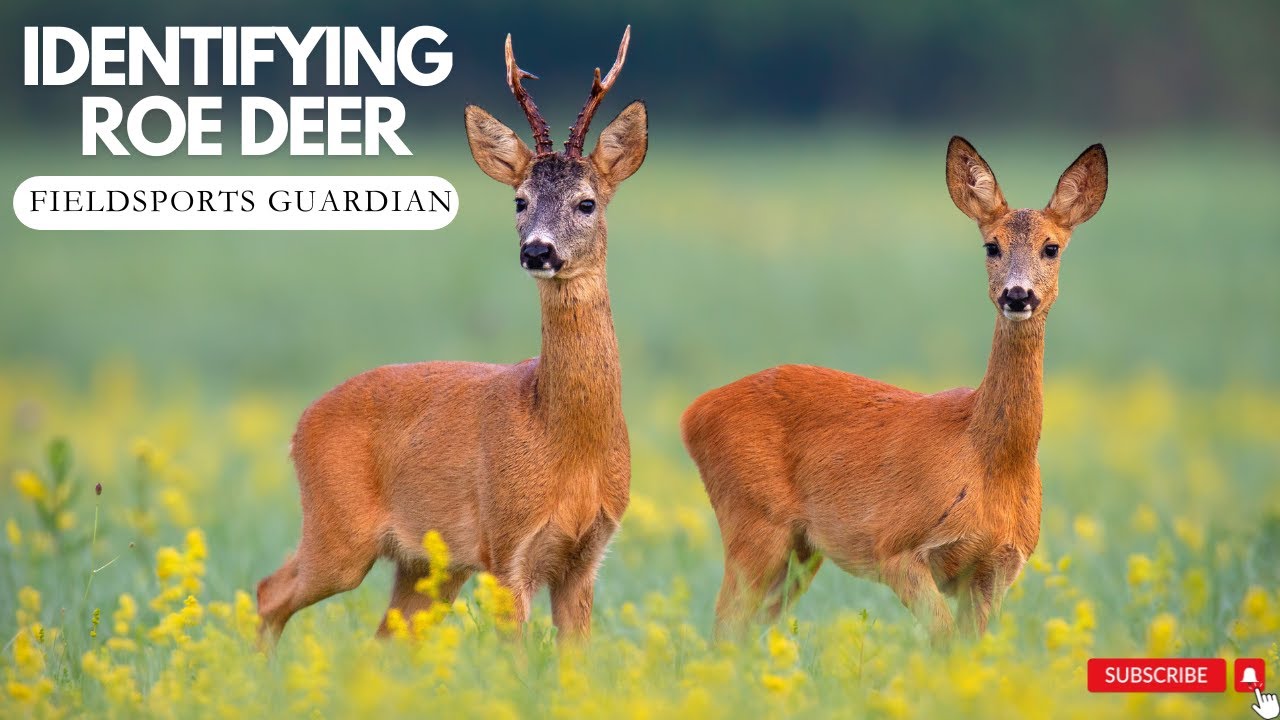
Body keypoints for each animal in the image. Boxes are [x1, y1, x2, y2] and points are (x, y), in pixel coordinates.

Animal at [257, 27, 646, 646]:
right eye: (519, 200)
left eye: (587, 202)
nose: (537, 250)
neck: (564, 442)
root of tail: (299, 426)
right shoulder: (505, 544)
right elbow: (516, 656)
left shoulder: (587, 556)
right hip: (338, 530)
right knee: (268, 592)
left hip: (425, 565)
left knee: (382, 635)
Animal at [681, 137, 1107, 645]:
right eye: (991, 245)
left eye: (1051, 247)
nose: (1017, 295)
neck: (988, 460)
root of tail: (692, 413)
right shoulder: (896, 546)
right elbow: (943, 641)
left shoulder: (997, 567)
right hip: (753, 519)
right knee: (724, 626)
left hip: (800, 550)